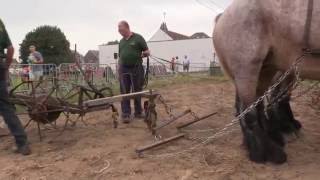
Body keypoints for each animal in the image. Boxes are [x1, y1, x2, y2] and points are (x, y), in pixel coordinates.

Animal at [212, 0, 320, 164]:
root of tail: (222, 17)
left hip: (265, 70)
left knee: (259, 106)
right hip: (247, 69)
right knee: (248, 111)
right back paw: (267, 153)